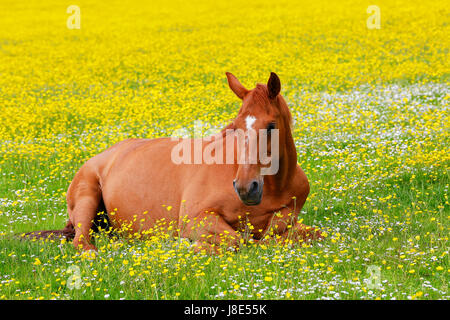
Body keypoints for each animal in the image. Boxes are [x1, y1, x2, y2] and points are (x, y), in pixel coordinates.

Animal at [27, 72, 320, 250]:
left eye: (271, 125)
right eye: (235, 127)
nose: (246, 188)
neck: (274, 187)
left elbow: (300, 231)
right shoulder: (195, 219)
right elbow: (239, 240)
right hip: (87, 197)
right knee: (82, 242)